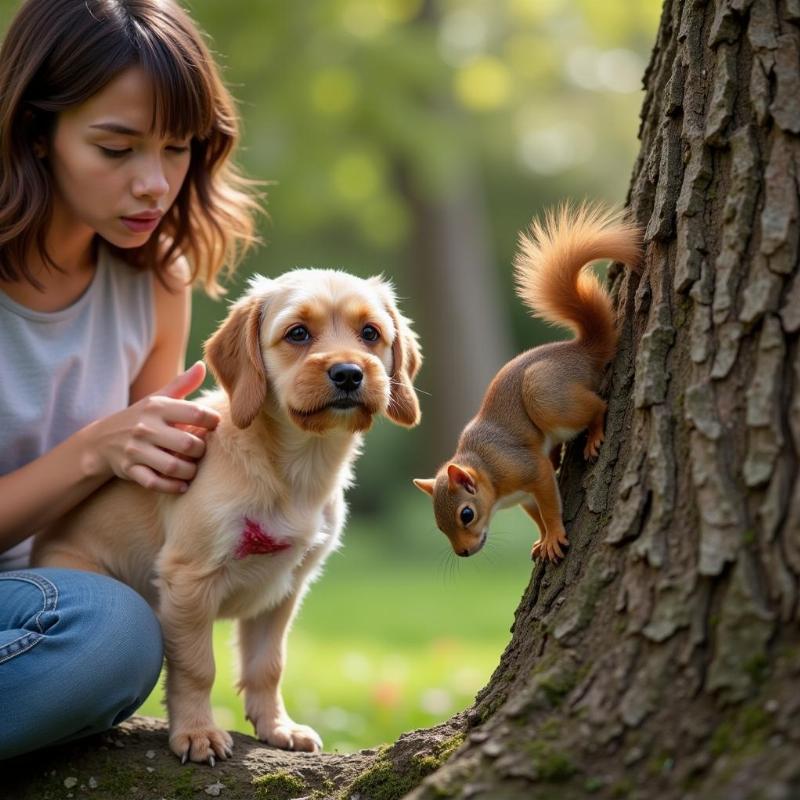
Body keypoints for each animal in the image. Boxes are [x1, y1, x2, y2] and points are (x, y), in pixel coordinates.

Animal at [31, 268, 422, 764]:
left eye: (370, 333)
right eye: (298, 333)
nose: (349, 373)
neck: (297, 467)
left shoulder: (284, 589)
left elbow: (268, 665)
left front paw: (277, 727)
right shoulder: (189, 580)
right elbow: (197, 667)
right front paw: (198, 732)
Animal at [416, 206, 640, 564]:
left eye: (467, 514)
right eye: (439, 525)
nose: (463, 553)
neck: (486, 470)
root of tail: (582, 351)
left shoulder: (529, 470)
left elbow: (549, 506)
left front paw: (555, 534)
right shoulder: (524, 496)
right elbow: (537, 515)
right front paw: (543, 539)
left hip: (545, 393)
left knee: (599, 405)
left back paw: (594, 435)